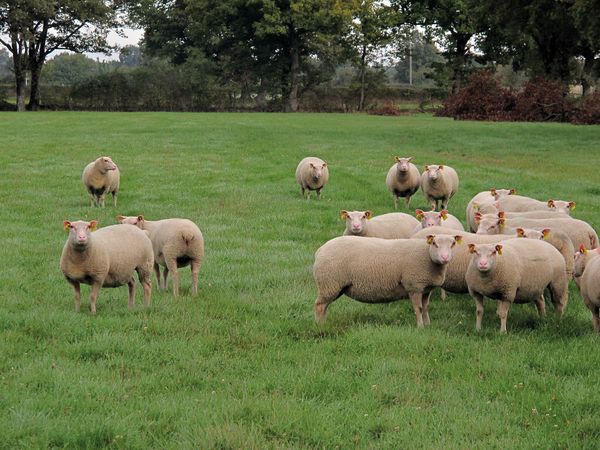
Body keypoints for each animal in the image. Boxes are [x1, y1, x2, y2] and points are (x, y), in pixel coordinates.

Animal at [312, 234, 462, 326]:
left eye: (453, 244)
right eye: (435, 243)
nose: (445, 257)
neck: (427, 256)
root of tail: (320, 250)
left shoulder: (425, 289)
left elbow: (425, 308)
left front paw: (428, 325)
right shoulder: (414, 286)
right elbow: (418, 308)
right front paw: (420, 327)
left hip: (333, 286)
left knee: (324, 306)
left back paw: (323, 324)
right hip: (329, 283)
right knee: (319, 305)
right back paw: (319, 326)